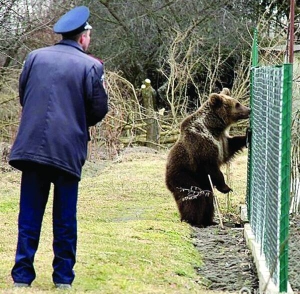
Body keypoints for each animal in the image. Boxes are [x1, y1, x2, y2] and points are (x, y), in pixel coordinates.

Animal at [165, 87, 250, 227]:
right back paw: (193, 220)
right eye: (237, 104)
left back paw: (209, 221)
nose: (249, 110)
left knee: (208, 197)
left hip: (202, 180)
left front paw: (248, 134)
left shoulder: (222, 141)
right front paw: (226, 187)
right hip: (184, 176)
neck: (213, 127)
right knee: (195, 197)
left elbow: (231, 146)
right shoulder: (201, 144)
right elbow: (211, 167)